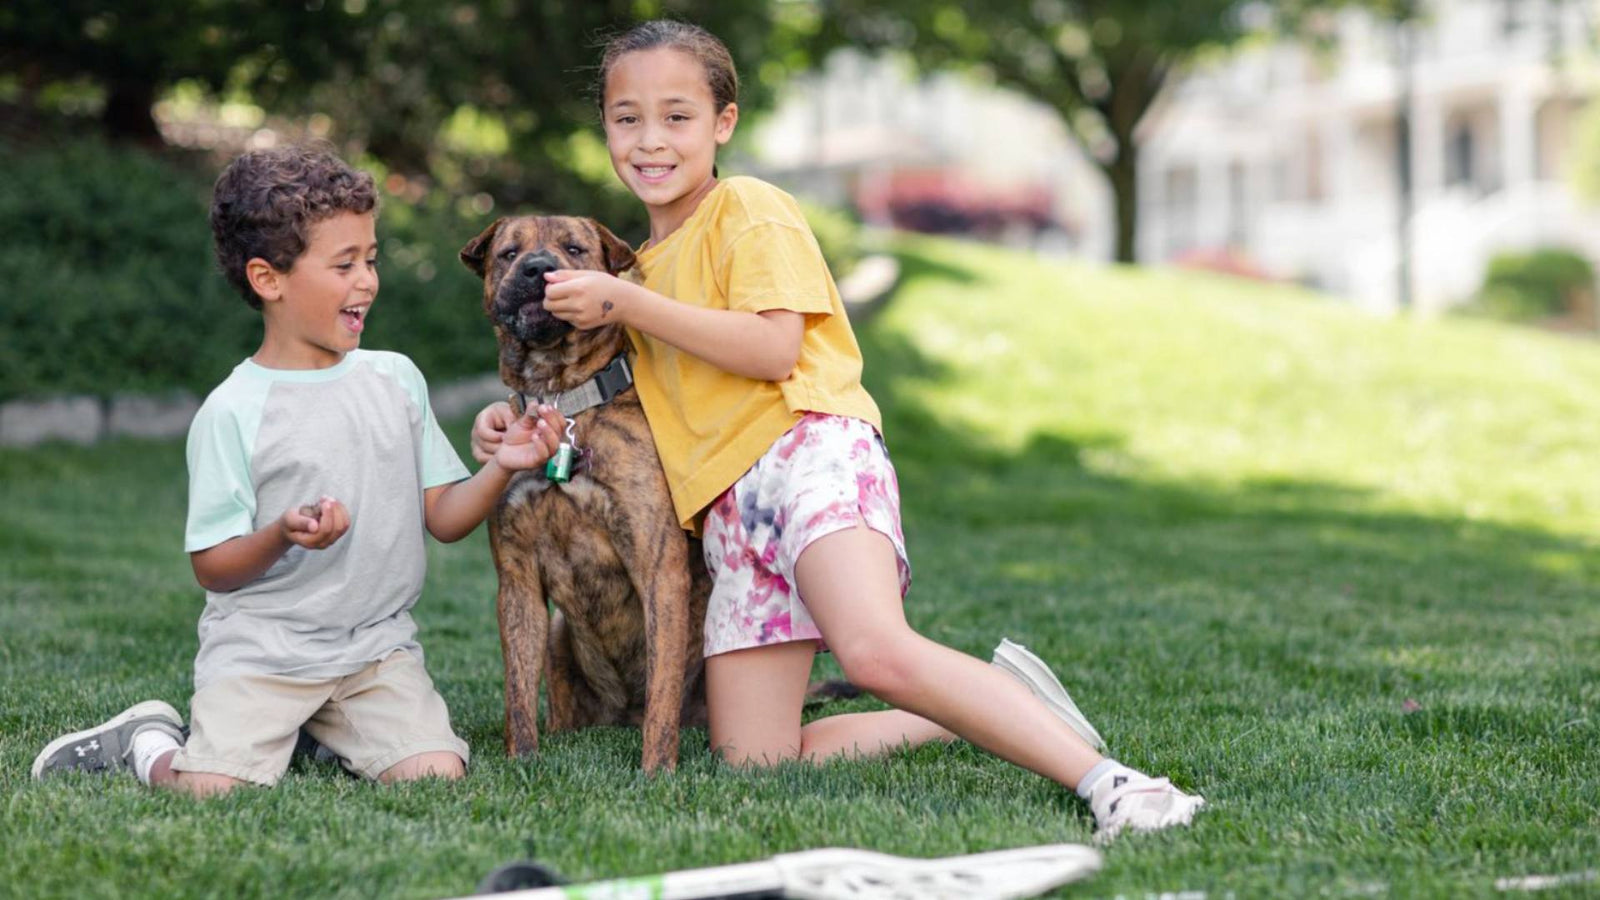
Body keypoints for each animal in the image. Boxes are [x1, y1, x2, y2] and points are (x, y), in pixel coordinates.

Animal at [457, 212, 707, 768]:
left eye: (574, 249)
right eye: (509, 253)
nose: (537, 268)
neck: (559, 398)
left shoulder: (659, 569)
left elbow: (662, 693)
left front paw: (657, 770)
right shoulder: (517, 578)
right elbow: (517, 692)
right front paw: (522, 759)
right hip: (556, 638)